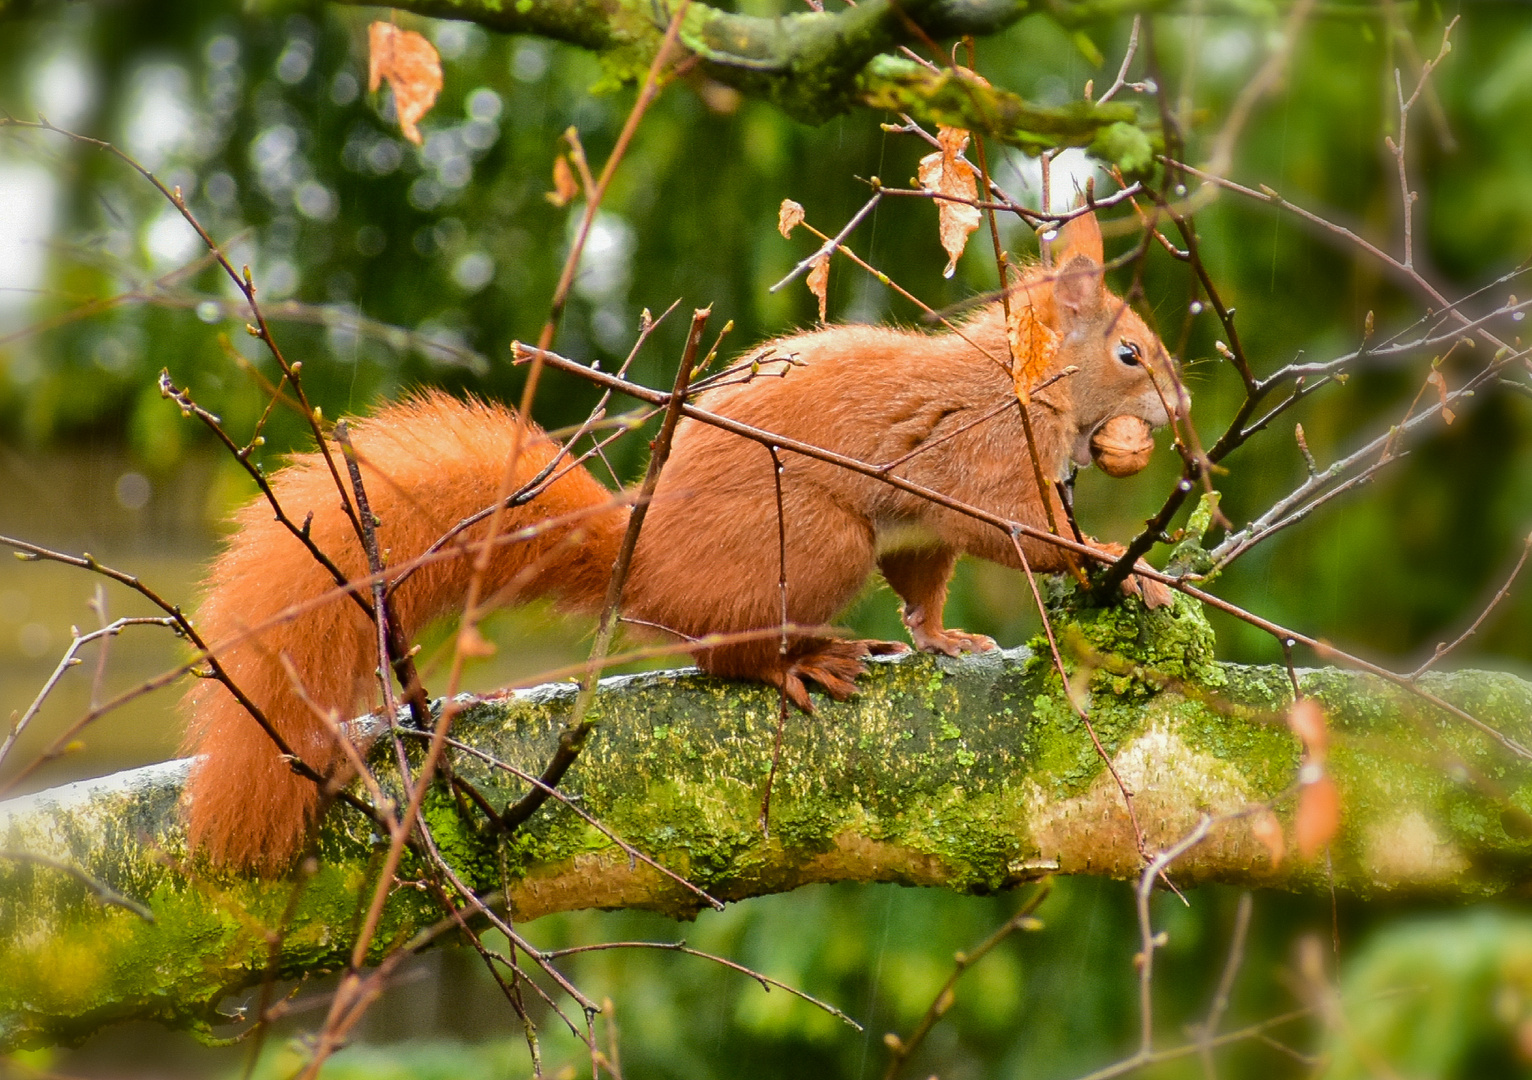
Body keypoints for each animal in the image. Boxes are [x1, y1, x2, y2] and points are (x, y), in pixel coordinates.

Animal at [182, 211, 1182, 870]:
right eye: (1130, 353)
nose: (1179, 408)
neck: (1022, 382)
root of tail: (643, 558)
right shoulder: (982, 461)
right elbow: (1029, 537)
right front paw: (1127, 573)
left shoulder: (921, 528)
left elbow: (925, 580)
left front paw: (944, 637)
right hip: (819, 543)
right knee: (719, 657)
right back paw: (798, 663)